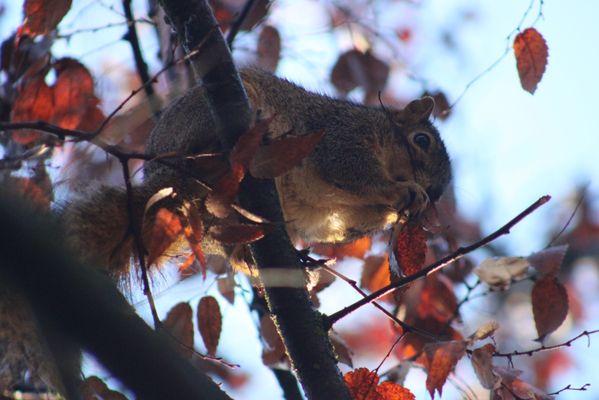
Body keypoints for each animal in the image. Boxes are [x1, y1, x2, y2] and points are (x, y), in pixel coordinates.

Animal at [63, 67, 452, 280]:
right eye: (422, 140)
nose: (435, 192)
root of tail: (168, 183)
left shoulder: (344, 215)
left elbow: (346, 223)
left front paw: (406, 208)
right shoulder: (339, 138)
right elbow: (354, 171)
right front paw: (405, 192)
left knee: (236, 256)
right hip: (204, 122)